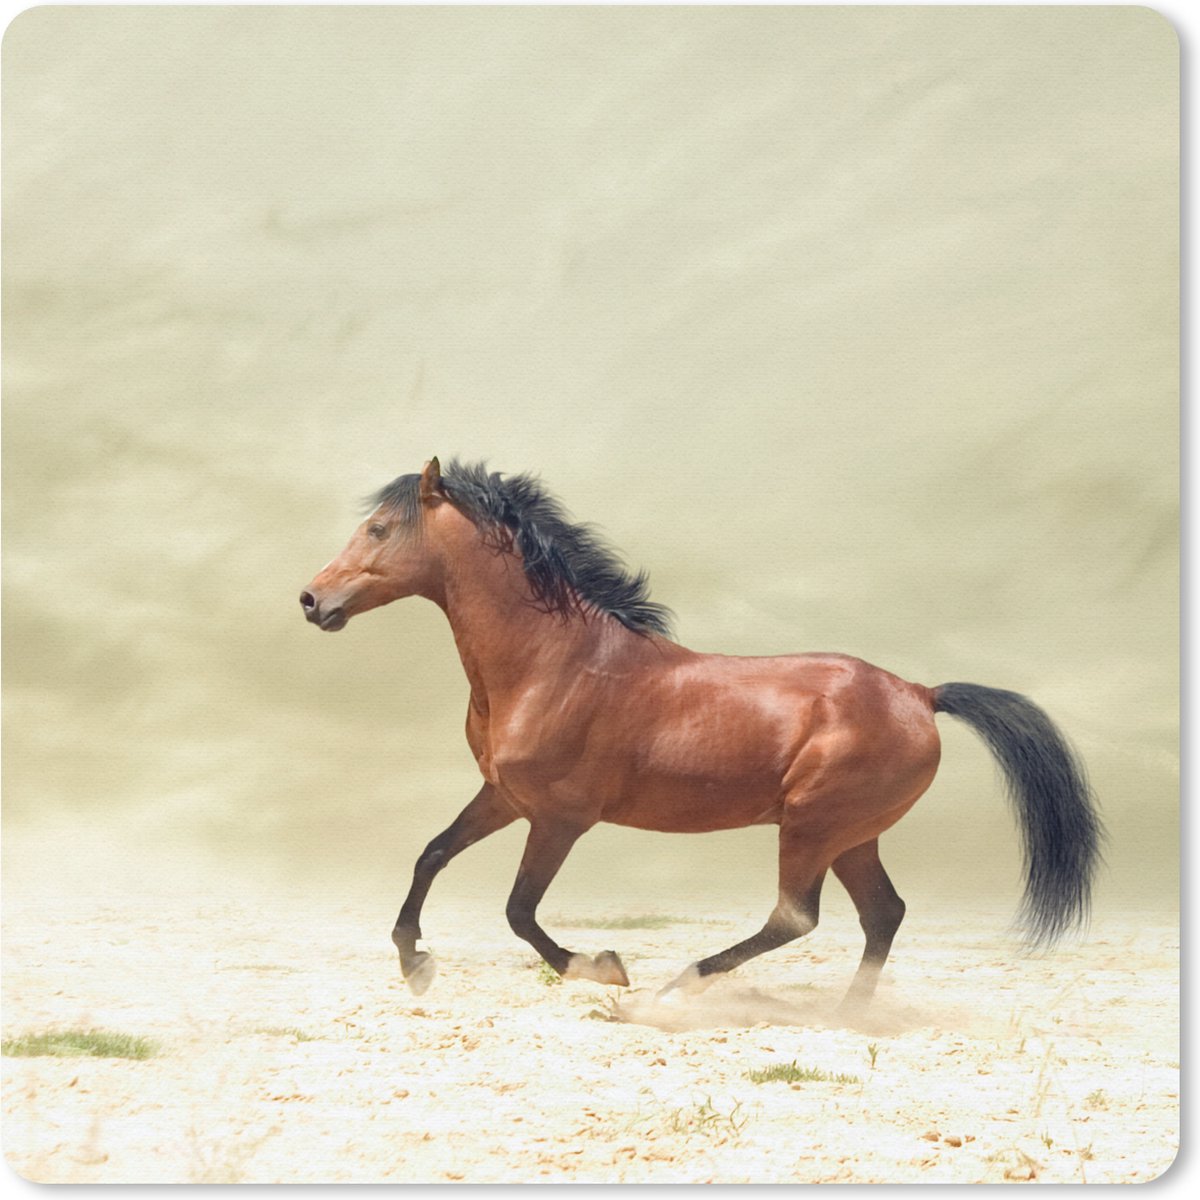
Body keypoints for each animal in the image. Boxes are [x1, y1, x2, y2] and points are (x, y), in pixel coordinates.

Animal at [300, 457, 1103, 1008]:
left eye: (379, 529)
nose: (312, 600)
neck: (550, 663)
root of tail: (919, 694)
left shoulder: (560, 818)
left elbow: (519, 911)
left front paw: (604, 969)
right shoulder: (504, 797)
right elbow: (431, 855)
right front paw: (415, 964)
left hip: (813, 825)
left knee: (796, 916)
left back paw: (684, 981)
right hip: (853, 835)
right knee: (882, 915)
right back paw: (848, 1013)